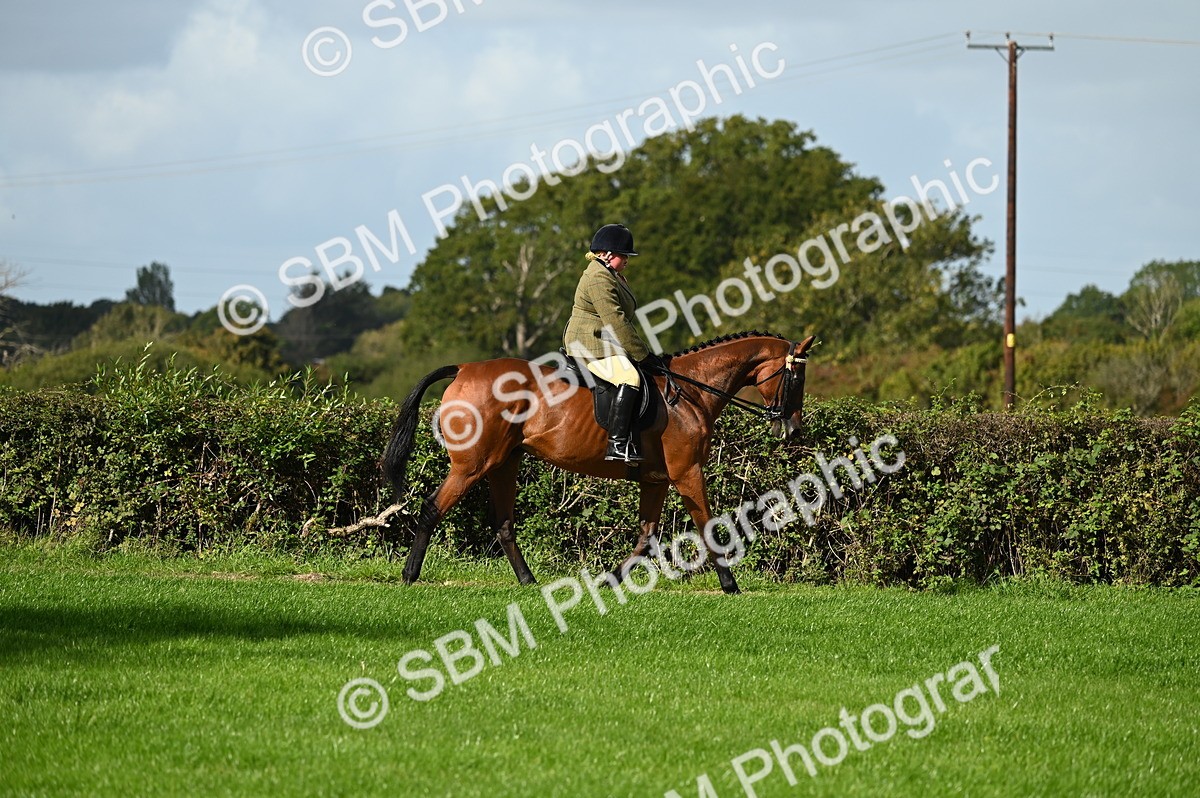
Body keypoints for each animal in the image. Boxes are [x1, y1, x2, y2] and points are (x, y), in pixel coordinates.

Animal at [381, 331, 816, 595]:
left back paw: (528, 581)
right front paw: (730, 584)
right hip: (473, 466)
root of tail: (463, 369)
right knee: (432, 507)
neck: (691, 391)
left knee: (503, 524)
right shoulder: (686, 474)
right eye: (796, 379)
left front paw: (608, 581)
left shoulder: (656, 480)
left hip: (504, 464)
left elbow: (646, 537)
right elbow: (707, 526)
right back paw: (409, 575)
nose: (792, 429)